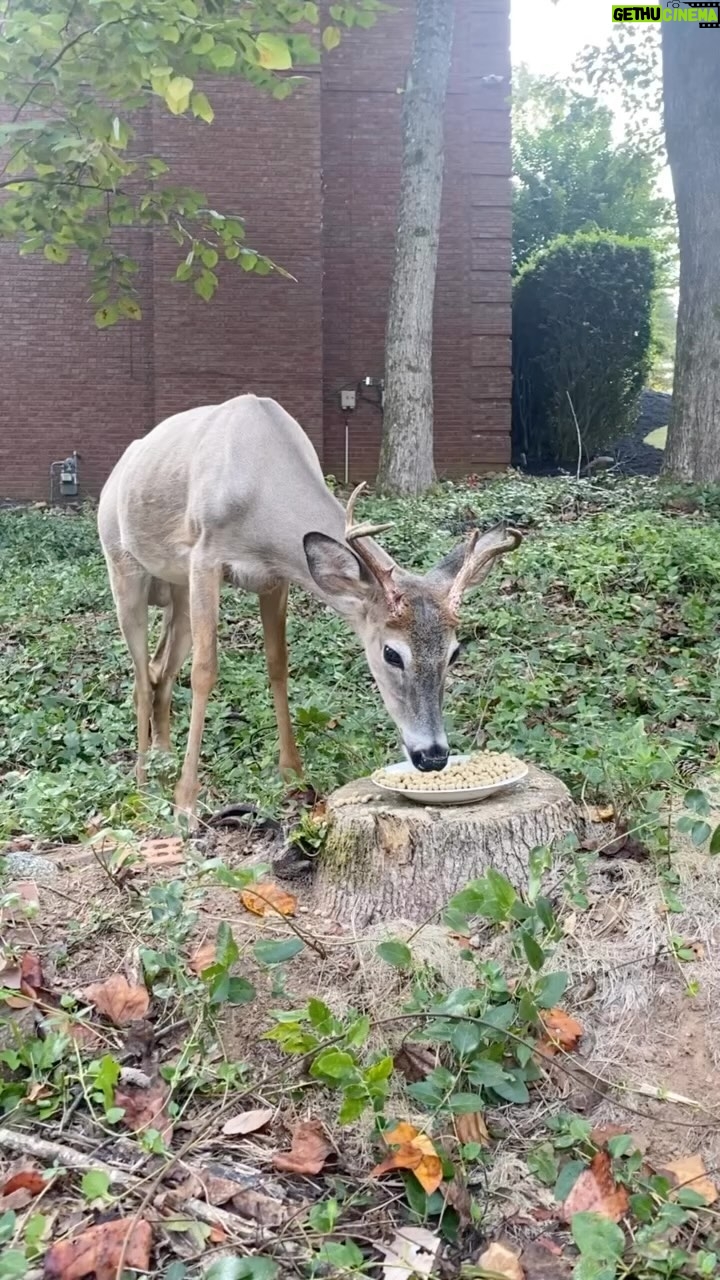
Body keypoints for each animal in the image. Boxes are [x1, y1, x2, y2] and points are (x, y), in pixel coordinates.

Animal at [98, 394, 521, 818]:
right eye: (391, 653)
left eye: (454, 653)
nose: (432, 756)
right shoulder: (205, 557)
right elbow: (205, 671)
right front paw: (186, 801)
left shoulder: (275, 577)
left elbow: (278, 664)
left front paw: (293, 773)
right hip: (123, 567)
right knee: (140, 676)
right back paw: (142, 783)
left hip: (177, 589)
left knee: (159, 668)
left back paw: (163, 759)